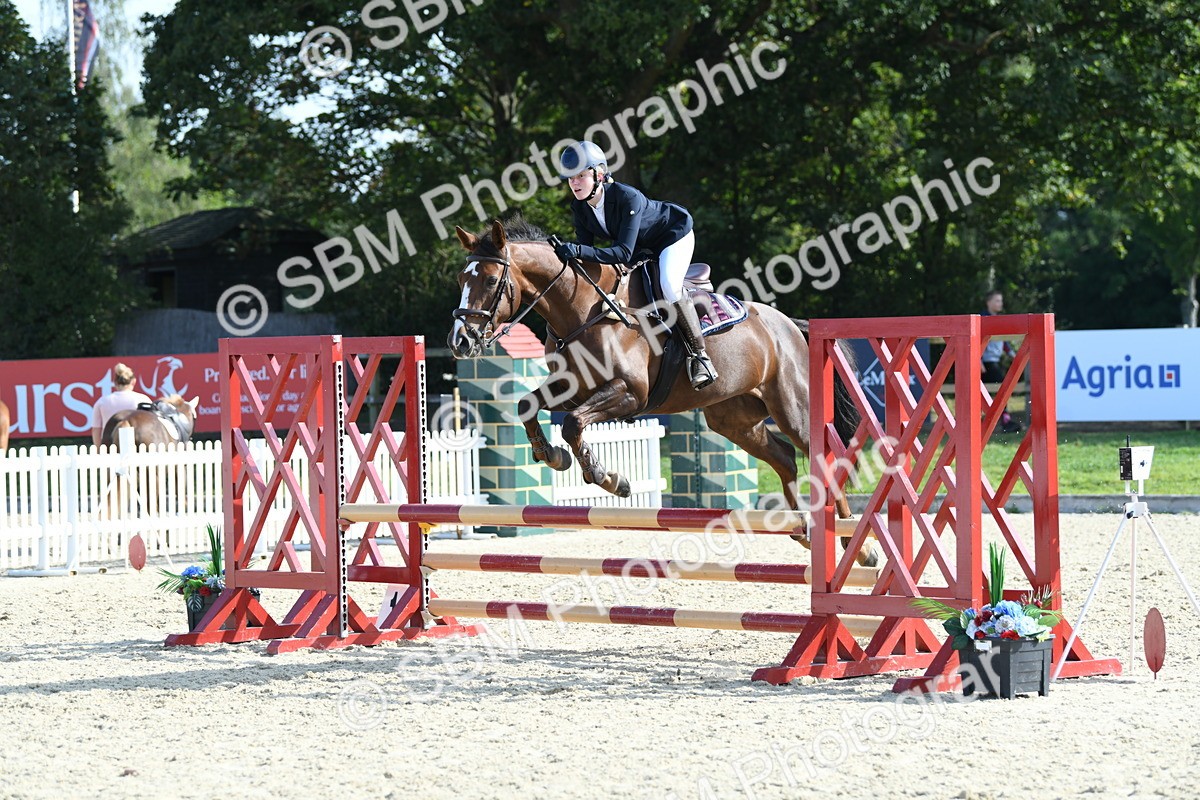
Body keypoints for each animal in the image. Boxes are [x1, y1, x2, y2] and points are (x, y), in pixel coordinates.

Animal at [448, 218, 876, 567]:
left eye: (490, 281)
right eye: (459, 280)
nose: (459, 341)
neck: (583, 309)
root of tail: (787, 324)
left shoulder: (628, 394)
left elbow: (572, 424)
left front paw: (607, 477)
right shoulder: (573, 388)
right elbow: (528, 404)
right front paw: (551, 455)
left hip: (792, 408)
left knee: (822, 457)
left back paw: (859, 546)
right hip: (734, 420)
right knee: (785, 458)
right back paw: (803, 530)